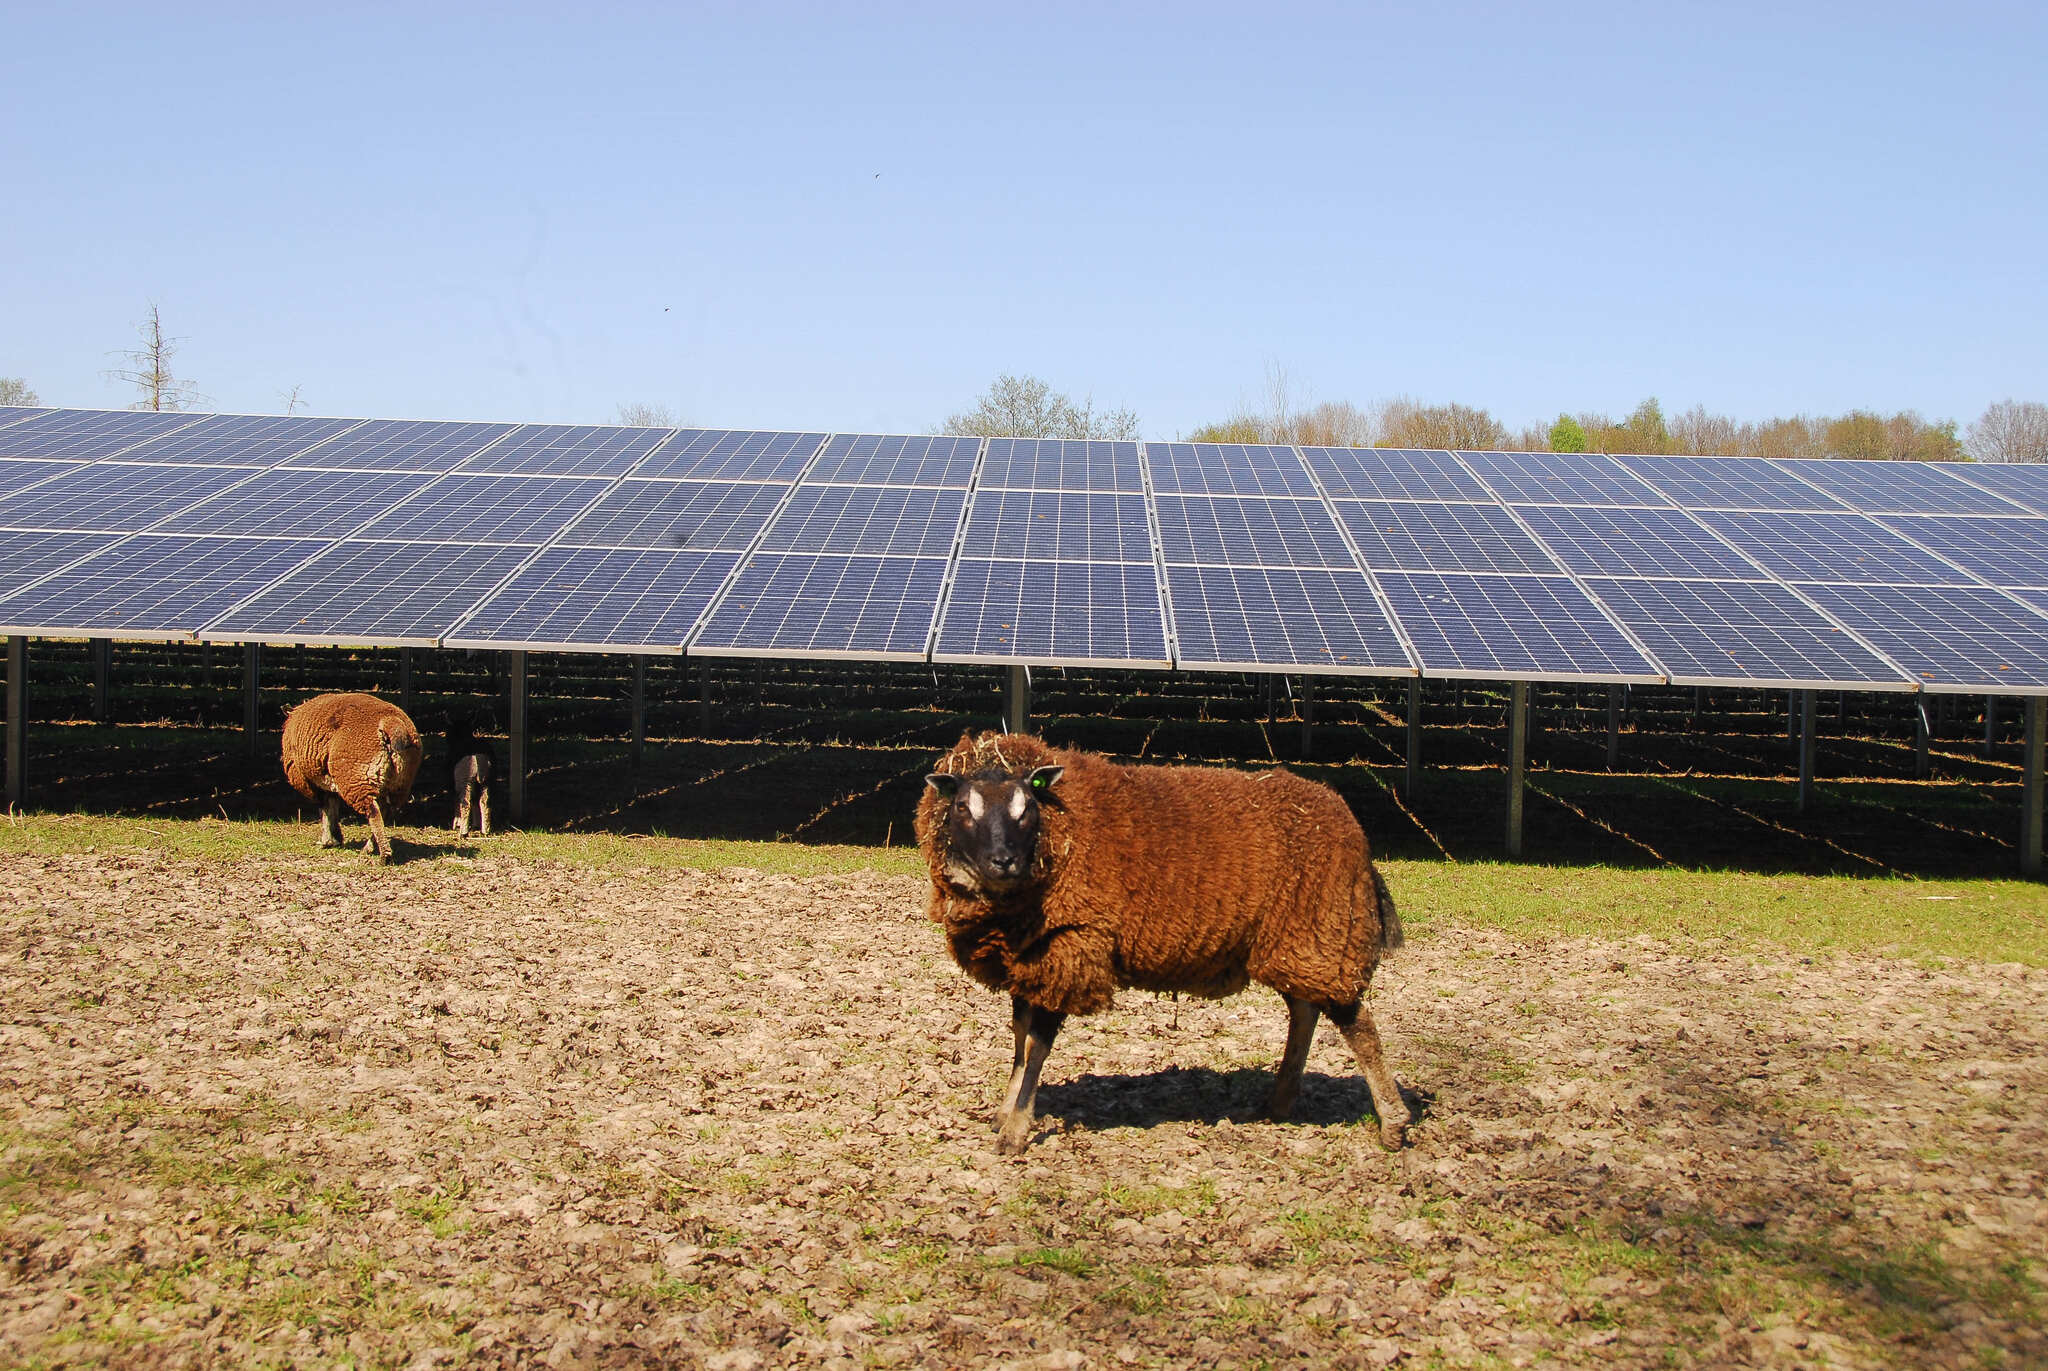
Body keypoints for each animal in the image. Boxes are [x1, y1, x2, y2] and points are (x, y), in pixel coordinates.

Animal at [280, 692, 423, 862]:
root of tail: (391, 722)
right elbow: (331, 806)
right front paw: (334, 840)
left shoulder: (312, 783)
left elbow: (325, 809)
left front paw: (327, 841)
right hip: (399, 783)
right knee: (386, 811)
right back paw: (369, 848)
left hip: (356, 778)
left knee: (373, 812)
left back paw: (384, 856)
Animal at [915, 729, 1409, 1155]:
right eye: (963, 808)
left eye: (1027, 809)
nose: (1005, 862)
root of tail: (1346, 819)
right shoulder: (1028, 956)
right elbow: (1019, 1039)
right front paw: (1004, 1113)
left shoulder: (1071, 946)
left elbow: (1036, 1045)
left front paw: (1015, 1132)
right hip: (1296, 938)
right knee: (1305, 1010)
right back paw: (1280, 1103)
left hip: (1320, 929)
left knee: (1356, 1024)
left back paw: (1393, 1125)